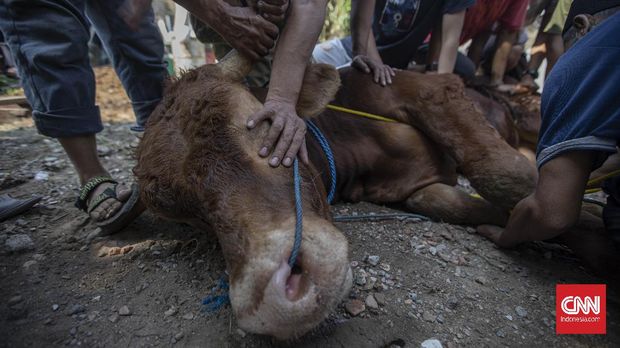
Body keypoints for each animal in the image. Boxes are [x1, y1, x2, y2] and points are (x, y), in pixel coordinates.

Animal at [136, 52, 544, 340]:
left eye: (262, 125)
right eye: (188, 213)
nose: (275, 295)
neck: (354, 145)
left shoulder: (427, 88)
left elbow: (509, 176)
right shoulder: (418, 191)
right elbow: (459, 201)